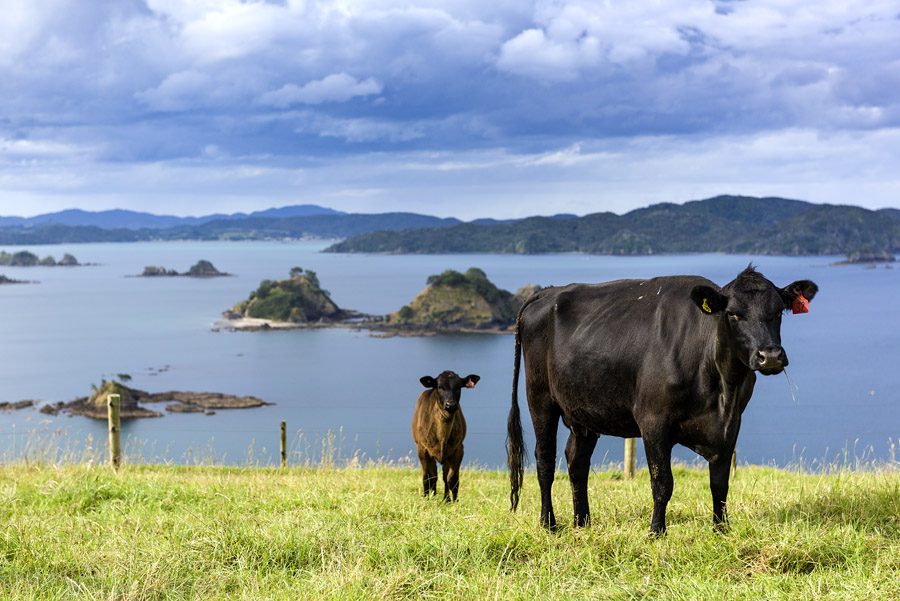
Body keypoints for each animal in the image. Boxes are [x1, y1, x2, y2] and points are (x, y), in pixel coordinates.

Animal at [414, 370, 482, 502]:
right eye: (440, 387)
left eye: (458, 387)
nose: (450, 405)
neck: (442, 437)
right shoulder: (422, 449)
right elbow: (427, 477)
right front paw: (426, 498)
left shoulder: (458, 449)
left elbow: (452, 479)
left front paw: (454, 502)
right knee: (433, 475)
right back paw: (433, 495)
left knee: (444, 476)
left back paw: (446, 499)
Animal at [506, 264, 816, 532]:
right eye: (733, 314)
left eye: (778, 311)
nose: (770, 356)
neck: (721, 391)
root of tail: (548, 291)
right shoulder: (653, 420)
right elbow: (662, 481)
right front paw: (657, 531)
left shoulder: (732, 423)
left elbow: (720, 483)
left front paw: (720, 529)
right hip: (540, 398)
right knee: (544, 460)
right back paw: (548, 523)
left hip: (583, 410)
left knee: (576, 461)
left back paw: (582, 522)